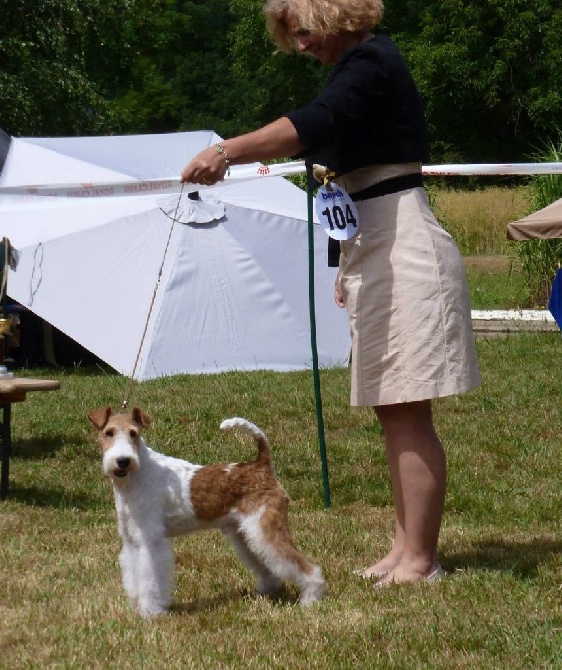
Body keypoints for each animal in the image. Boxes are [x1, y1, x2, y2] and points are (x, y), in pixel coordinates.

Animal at [87, 404, 324, 620]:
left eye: (133, 433)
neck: (137, 475)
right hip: (245, 533)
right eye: (108, 432)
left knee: (303, 565)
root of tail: (262, 464)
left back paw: (310, 598)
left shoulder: (150, 541)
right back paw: (266, 590)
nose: (122, 461)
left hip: (265, 527)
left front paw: (150, 612)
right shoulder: (131, 540)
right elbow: (133, 576)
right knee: (267, 565)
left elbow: (150, 579)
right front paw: (136, 607)